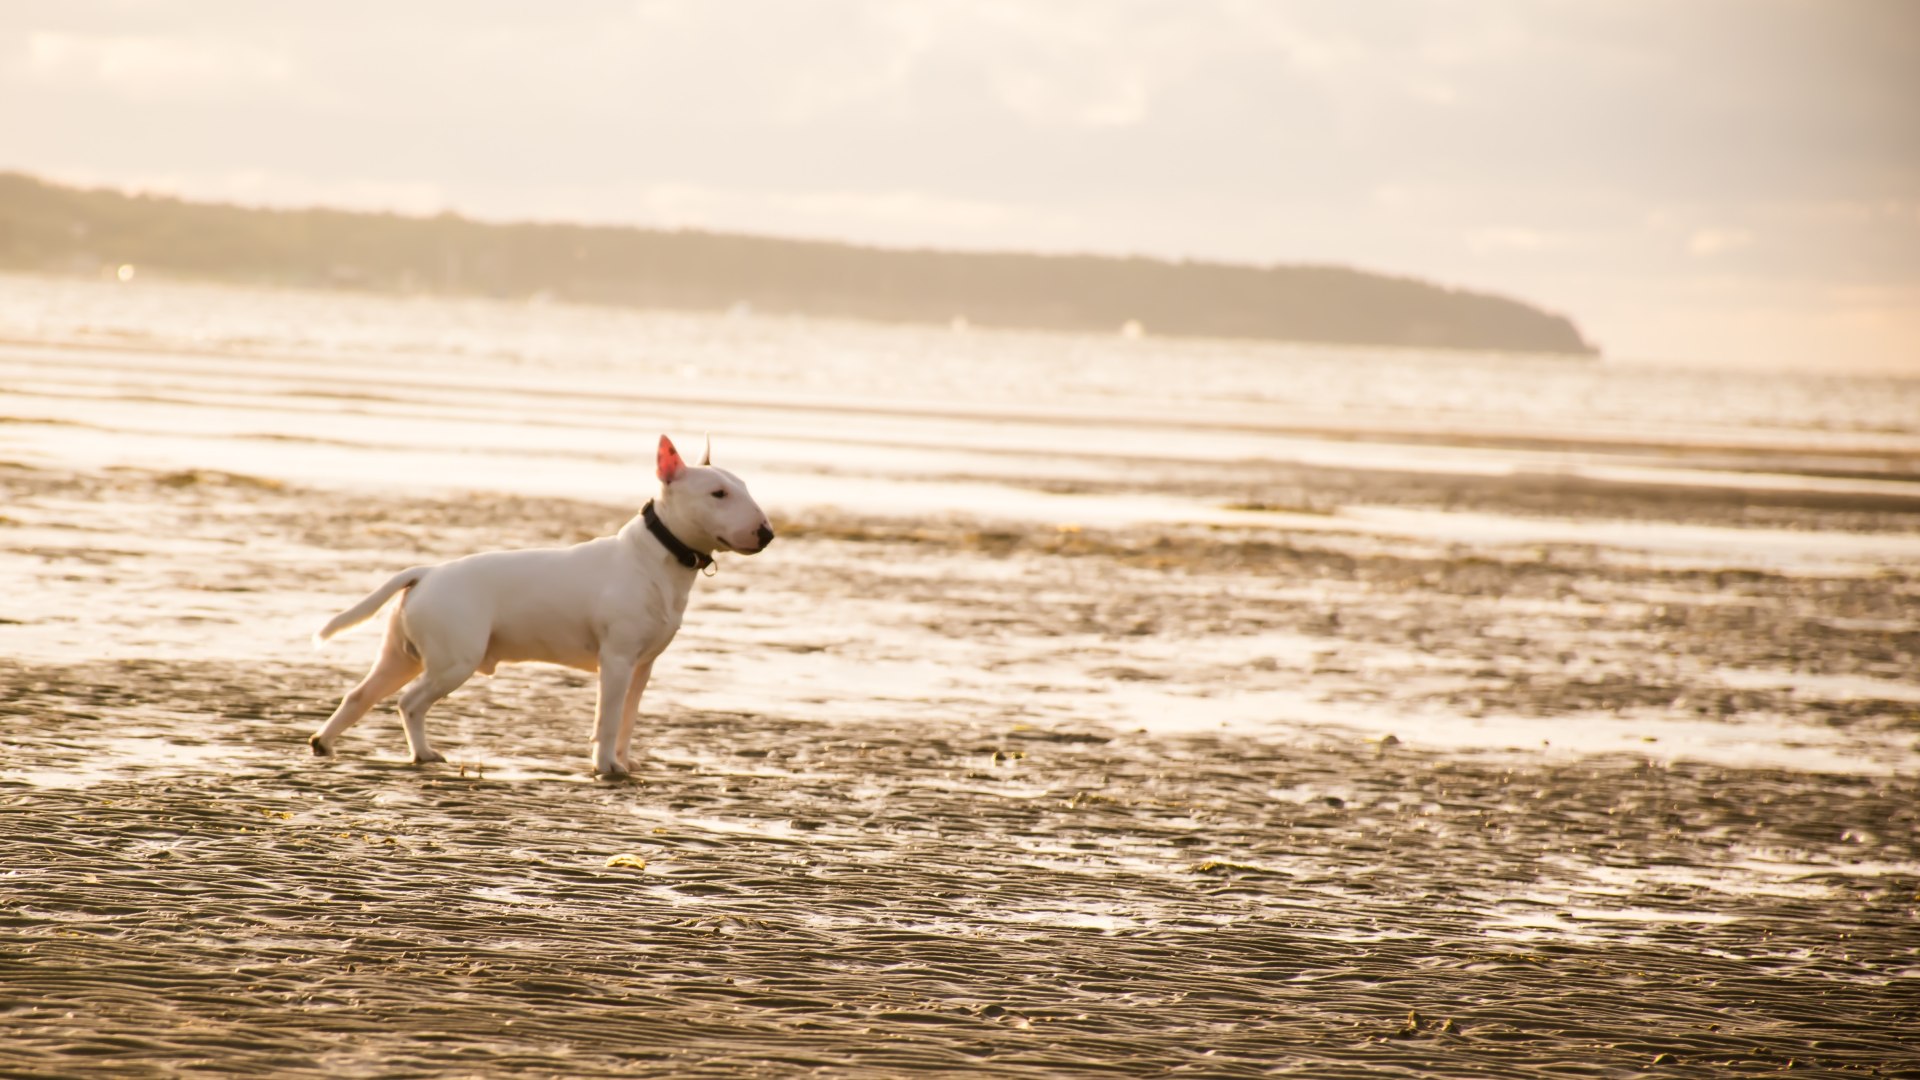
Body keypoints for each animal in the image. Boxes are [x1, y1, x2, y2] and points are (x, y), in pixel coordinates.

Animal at [307, 432, 771, 776]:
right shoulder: (617, 659)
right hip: (454, 659)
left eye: (744, 488)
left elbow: (628, 717)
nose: (767, 534)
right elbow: (607, 719)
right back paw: (423, 754)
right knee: (409, 702)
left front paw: (625, 762)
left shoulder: (643, 666)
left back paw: (323, 743)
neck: (653, 557)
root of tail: (426, 573)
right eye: (718, 494)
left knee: (359, 694)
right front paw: (606, 767)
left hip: (402, 655)